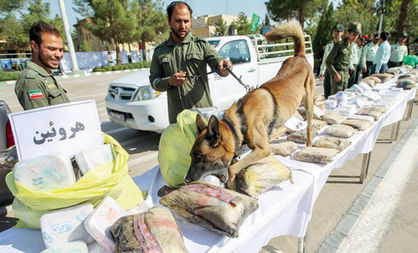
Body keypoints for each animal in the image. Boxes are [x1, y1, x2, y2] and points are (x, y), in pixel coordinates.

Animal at [185, 22, 312, 189]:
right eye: (191, 155)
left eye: (200, 156)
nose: (186, 180)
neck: (240, 120)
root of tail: (299, 56)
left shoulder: (262, 149)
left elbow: (231, 168)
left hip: (309, 102)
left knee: (309, 125)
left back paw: (309, 143)